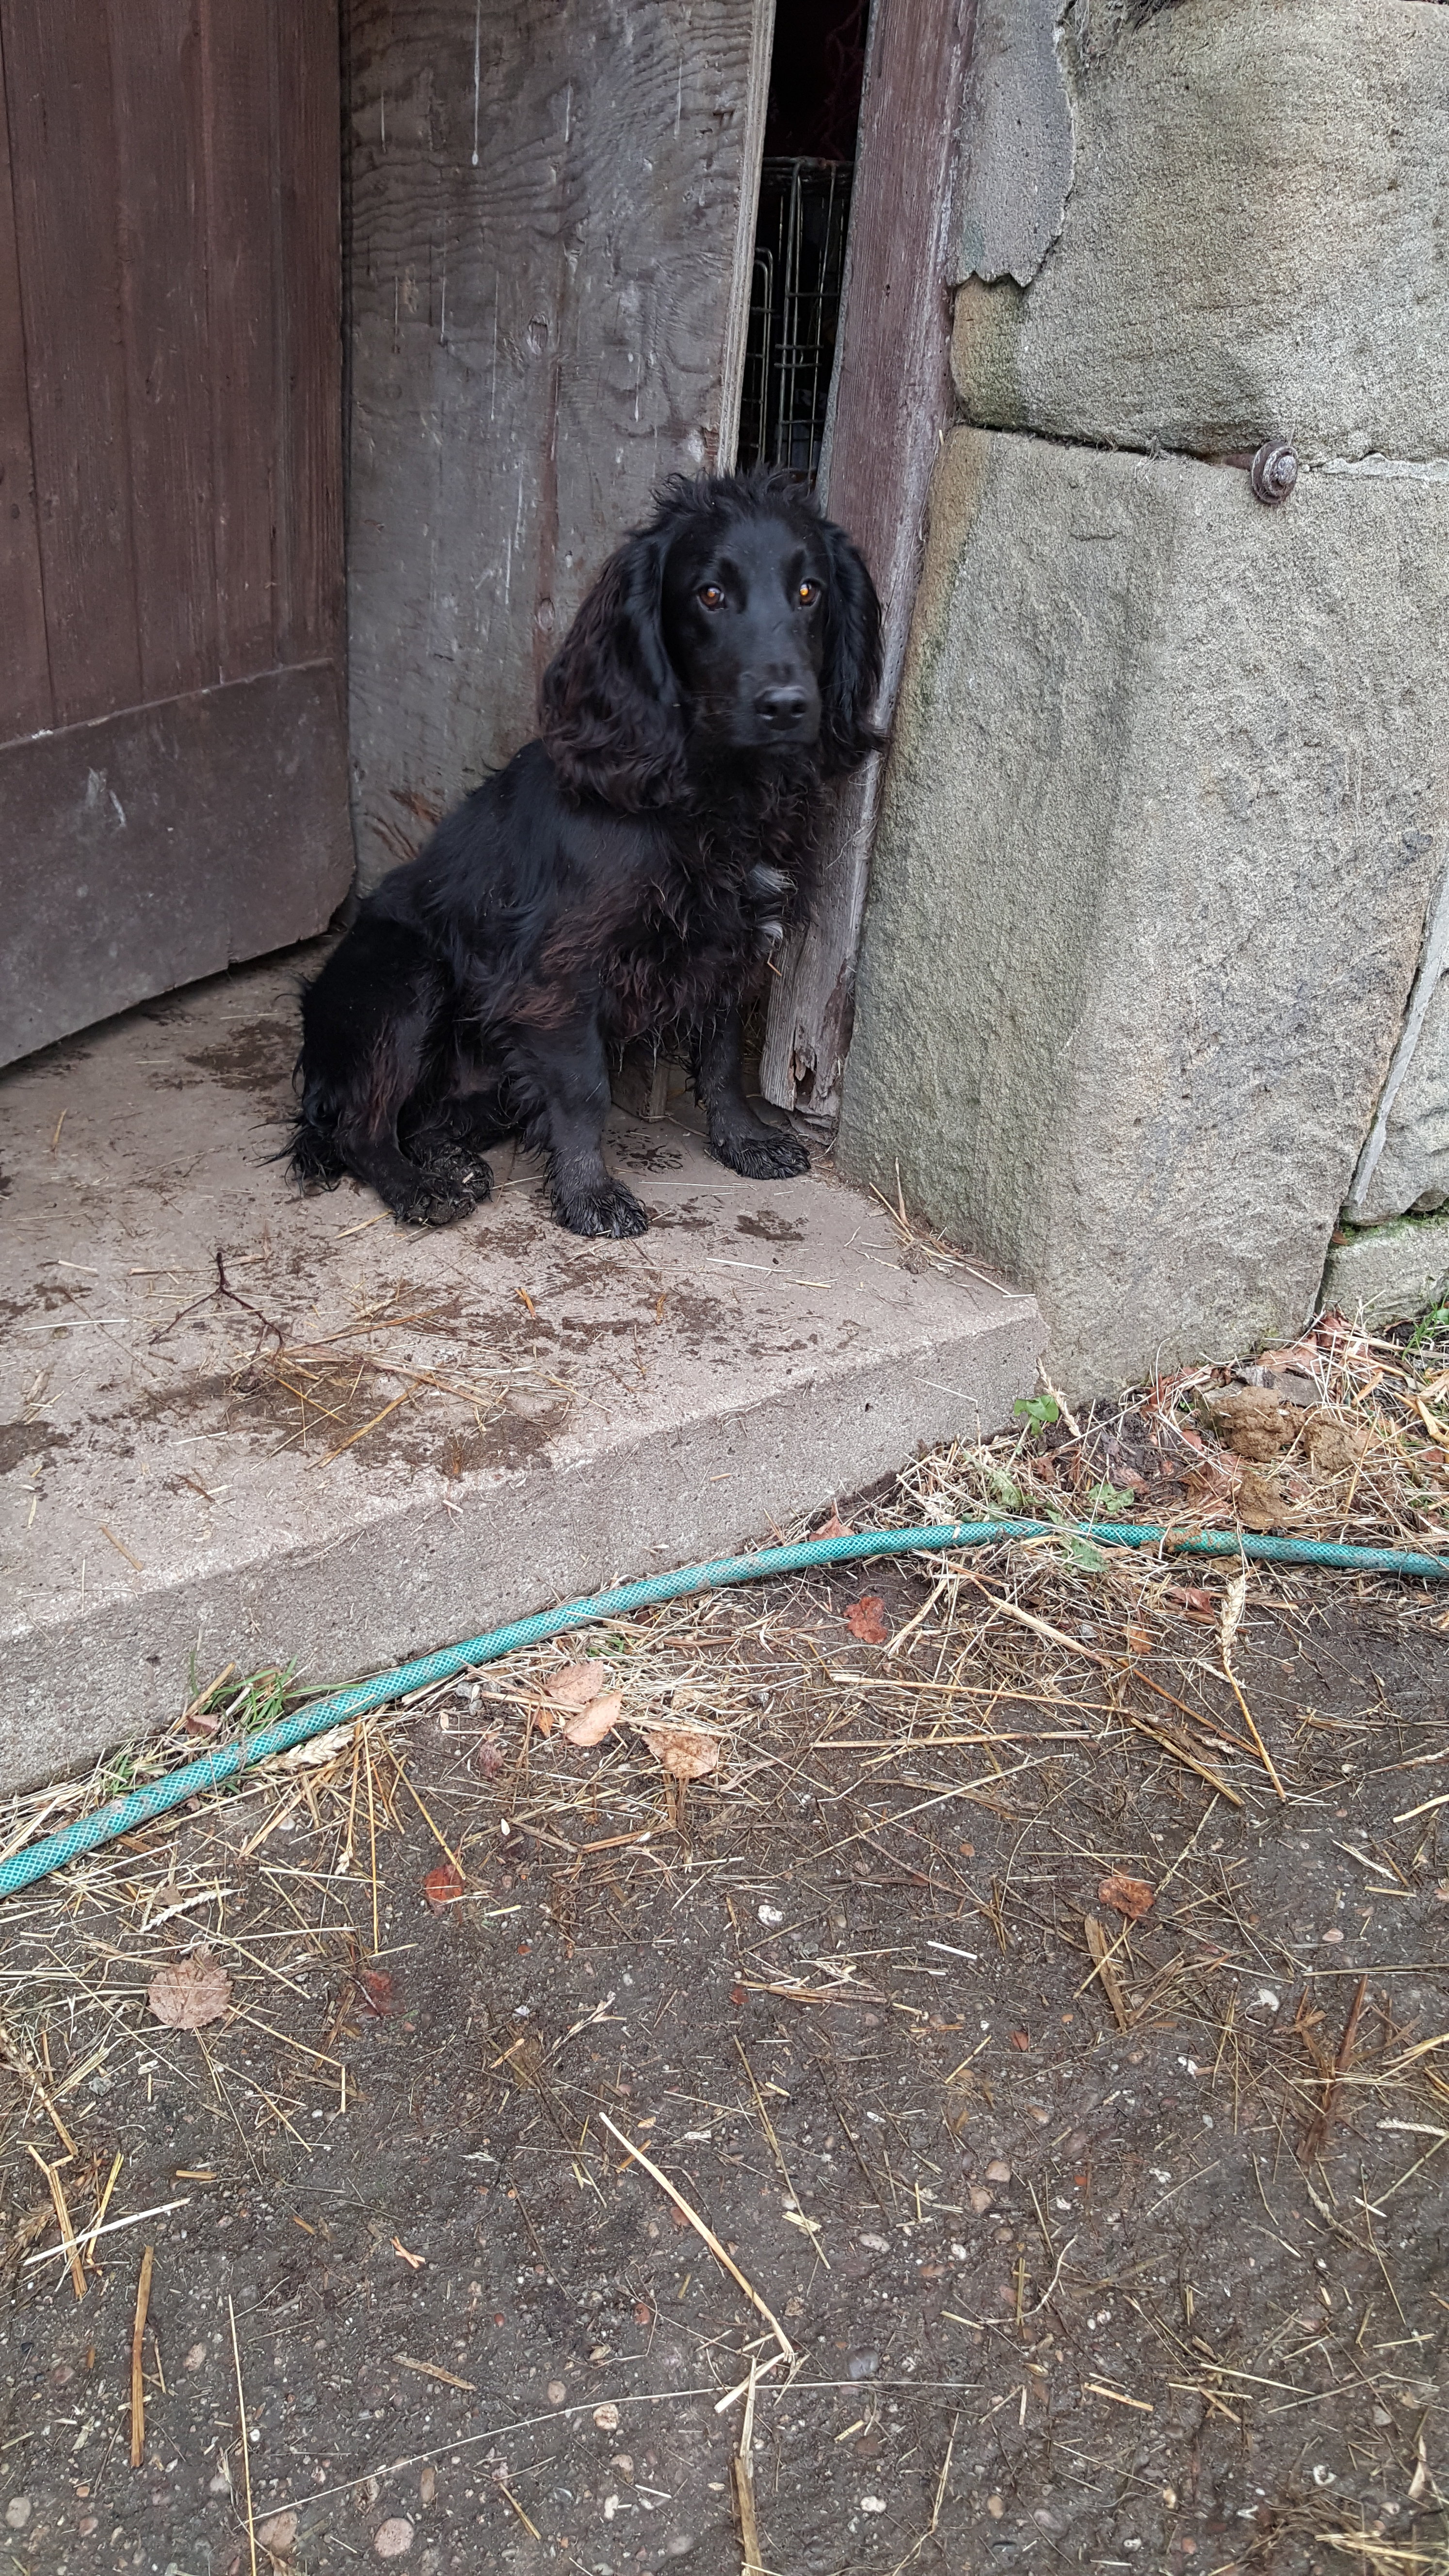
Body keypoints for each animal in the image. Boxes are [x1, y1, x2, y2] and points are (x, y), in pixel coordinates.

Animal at [286, 471, 876, 1236]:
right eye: (709, 594)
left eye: (809, 590)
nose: (786, 705)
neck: (706, 791)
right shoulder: (561, 970)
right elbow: (584, 1090)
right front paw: (590, 1193)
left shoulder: (729, 941)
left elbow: (721, 1060)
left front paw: (744, 1140)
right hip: (407, 977)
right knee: (362, 1126)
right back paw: (421, 1185)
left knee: (422, 1120)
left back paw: (450, 1161)